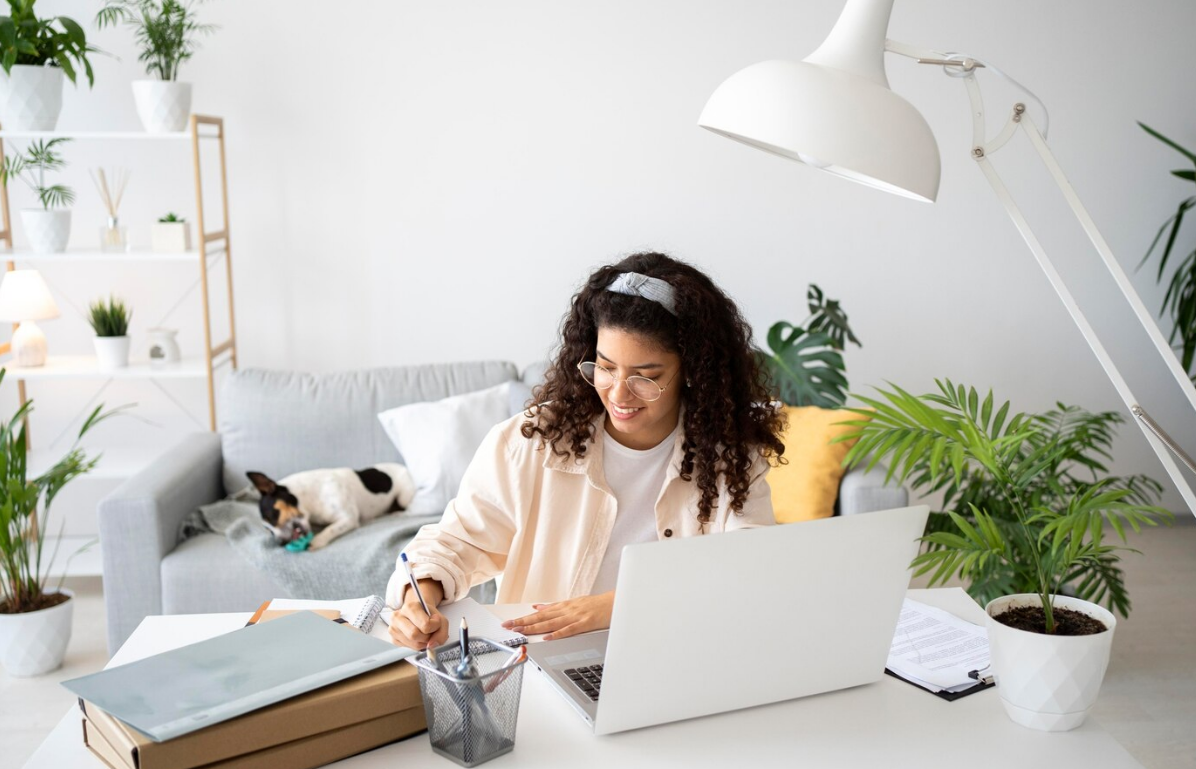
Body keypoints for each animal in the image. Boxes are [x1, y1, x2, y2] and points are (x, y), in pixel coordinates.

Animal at [246, 466, 416, 550]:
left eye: (272, 516)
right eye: (268, 530)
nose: (280, 544)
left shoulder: (348, 518)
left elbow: (331, 529)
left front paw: (317, 540)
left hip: (403, 497)